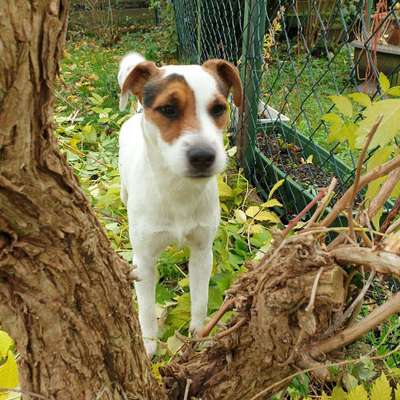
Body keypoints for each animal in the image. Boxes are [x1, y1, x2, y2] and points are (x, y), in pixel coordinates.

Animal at [117, 51, 242, 354]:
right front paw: (148, 346)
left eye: (218, 109)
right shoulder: (144, 261)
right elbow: (146, 310)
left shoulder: (202, 252)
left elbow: (200, 300)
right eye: (168, 109)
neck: (178, 191)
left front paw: (199, 335)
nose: (203, 156)